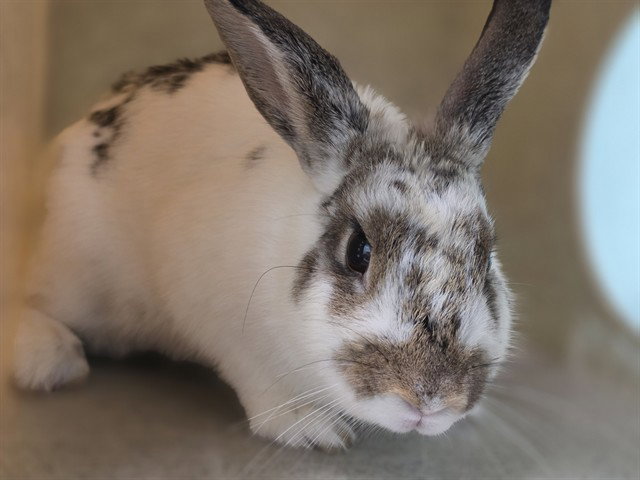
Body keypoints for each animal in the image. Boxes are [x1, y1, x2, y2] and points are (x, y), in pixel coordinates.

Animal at [13, 0, 550, 450]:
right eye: (358, 251)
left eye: (485, 257)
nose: (430, 399)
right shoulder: (216, 315)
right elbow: (260, 380)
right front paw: (312, 430)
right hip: (79, 273)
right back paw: (49, 361)